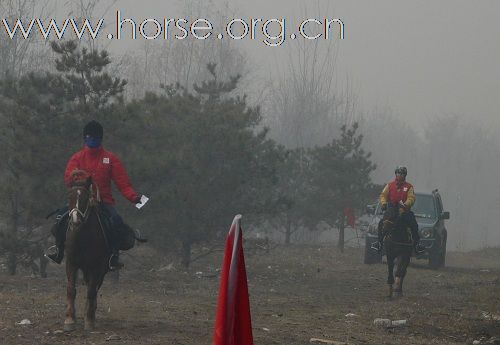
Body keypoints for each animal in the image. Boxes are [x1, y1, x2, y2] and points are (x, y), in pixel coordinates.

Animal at [64, 175, 109, 330]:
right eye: (69, 196)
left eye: (84, 197)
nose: (75, 221)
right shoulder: (71, 263)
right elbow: (71, 290)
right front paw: (69, 319)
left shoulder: (96, 267)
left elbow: (90, 291)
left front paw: (89, 321)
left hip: (102, 270)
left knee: (94, 289)